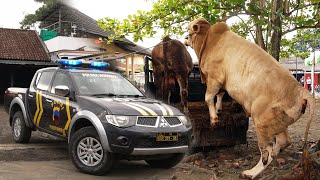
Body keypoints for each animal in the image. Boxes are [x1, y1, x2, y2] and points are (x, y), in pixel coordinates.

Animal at [185, 17, 316, 179]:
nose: (184, 39)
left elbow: (208, 97)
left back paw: (250, 173)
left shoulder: (215, 78)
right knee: (282, 143)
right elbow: (220, 95)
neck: (211, 40)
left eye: (189, 28)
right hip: (278, 122)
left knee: (267, 151)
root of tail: (301, 90)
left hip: (261, 121)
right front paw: (219, 109)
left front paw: (214, 119)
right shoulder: (222, 84)